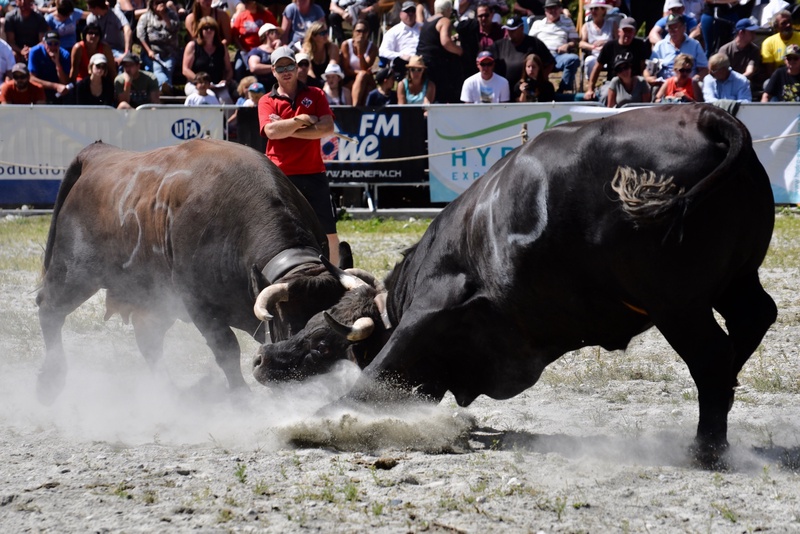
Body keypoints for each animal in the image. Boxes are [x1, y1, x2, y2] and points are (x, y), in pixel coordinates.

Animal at [35, 138, 366, 405]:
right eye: (293, 323)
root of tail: (97, 155)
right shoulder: (200, 306)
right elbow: (227, 350)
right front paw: (242, 397)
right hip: (74, 274)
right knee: (50, 310)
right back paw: (51, 379)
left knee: (148, 340)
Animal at [251, 105, 777, 465]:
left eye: (321, 343)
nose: (260, 359)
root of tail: (709, 117)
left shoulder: (430, 313)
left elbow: (375, 376)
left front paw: (317, 423)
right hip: (736, 280)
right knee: (753, 322)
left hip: (677, 304)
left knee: (712, 358)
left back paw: (705, 448)